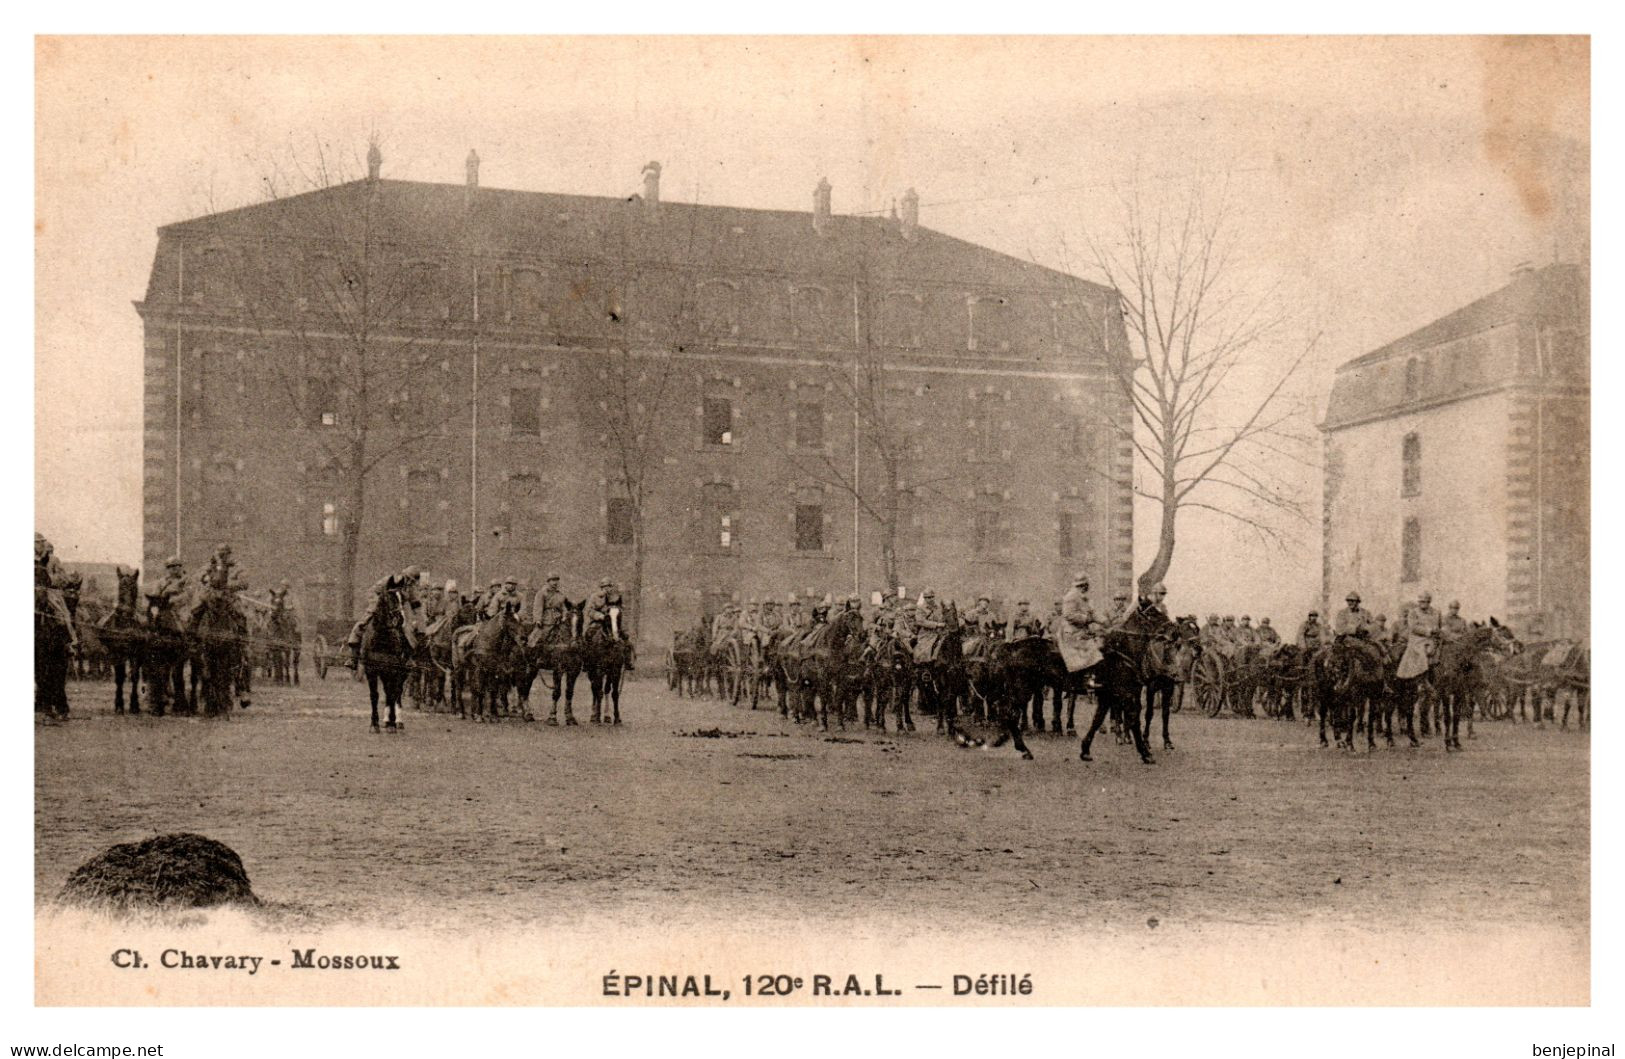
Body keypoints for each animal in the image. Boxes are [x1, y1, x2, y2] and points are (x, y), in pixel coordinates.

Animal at [362, 591, 416, 730]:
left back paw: (397, 721)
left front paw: (392, 723)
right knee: (388, 691)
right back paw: (387, 720)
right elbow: (374, 695)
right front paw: (374, 724)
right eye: (390, 599)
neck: (381, 640)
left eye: (402, 600)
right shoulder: (371, 671)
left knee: (396, 692)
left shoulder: (392, 670)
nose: (401, 619)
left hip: (401, 673)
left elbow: (393, 694)